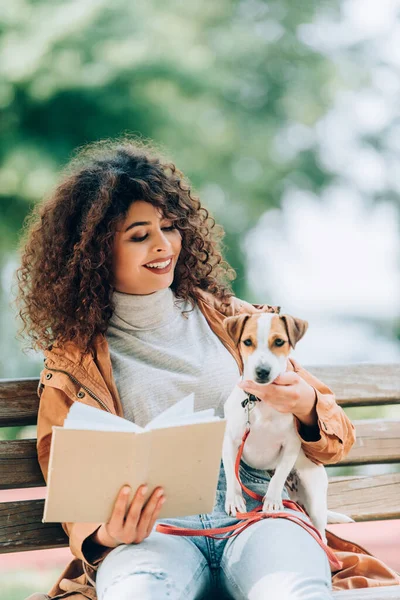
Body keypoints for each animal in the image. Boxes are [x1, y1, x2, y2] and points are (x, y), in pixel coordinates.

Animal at [222, 310, 354, 544]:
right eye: (247, 342)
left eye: (279, 342)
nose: (262, 371)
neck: (260, 402)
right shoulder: (229, 441)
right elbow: (231, 472)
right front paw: (234, 499)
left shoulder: (291, 445)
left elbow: (279, 475)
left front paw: (272, 500)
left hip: (315, 501)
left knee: (322, 534)